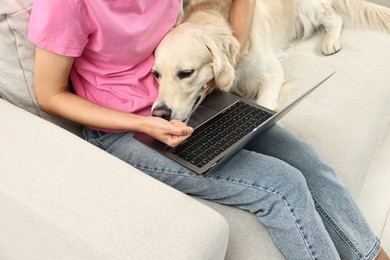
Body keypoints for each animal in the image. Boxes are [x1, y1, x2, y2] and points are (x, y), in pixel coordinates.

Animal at [150, 0, 390, 122]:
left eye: (186, 73)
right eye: (156, 75)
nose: (159, 113)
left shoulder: (272, 72)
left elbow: (265, 104)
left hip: (309, 8)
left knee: (336, 17)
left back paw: (330, 42)